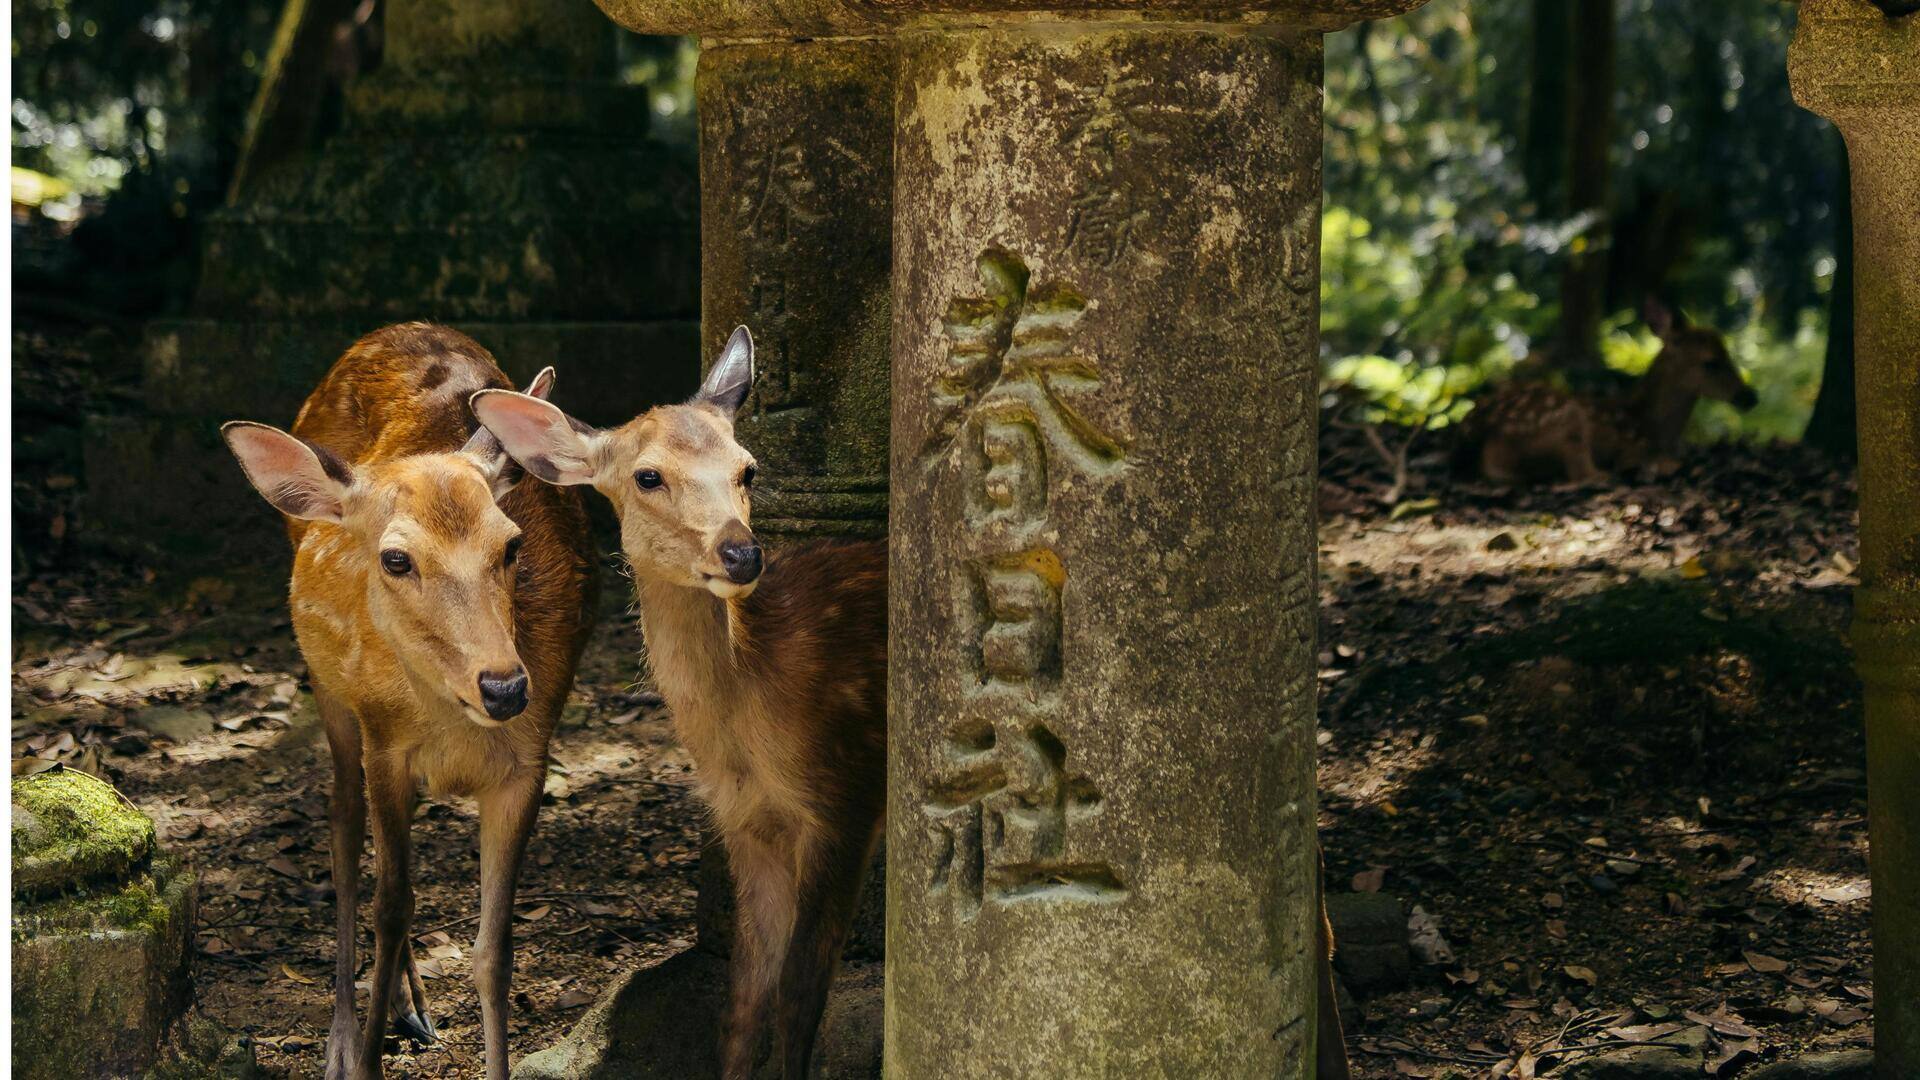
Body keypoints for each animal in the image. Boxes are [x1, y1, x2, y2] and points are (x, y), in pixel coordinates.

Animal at [219, 320, 591, 1076]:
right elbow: (388, 907)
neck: (453, 725)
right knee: (341, 829)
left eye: (511, 544)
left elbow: (494, 950)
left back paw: (410, 1007)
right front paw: (362, 1059)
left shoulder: (527, 764)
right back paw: (345, 1034)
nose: (505, 685)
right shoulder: (385, 746)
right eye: (396, 558)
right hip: (332, 697)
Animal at [470, 328, 1359, 1076]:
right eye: (647, 475)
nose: (742, 552)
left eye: (748, 469)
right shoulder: (748, 822)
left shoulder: (846, 788)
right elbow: (745, 1005)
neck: (751, 718)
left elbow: (800, 998)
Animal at [1451, 292, 1758, 480]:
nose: (1749, 396)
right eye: (1711, 362)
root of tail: (1473, 436)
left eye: (1728, 352)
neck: (1656, 428)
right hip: (1566, 418)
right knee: (1583, 474)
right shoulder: (1632, 447)